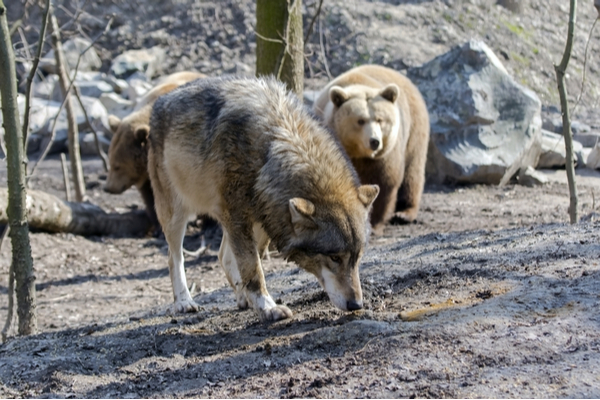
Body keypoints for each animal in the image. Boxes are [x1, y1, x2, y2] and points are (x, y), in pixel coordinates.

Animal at [147, 77, 378, 322]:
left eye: (357, 258)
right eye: (334, 258)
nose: (356, 304)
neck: (276, 141)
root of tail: (161, 99)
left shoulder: (260, 215)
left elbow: (250, 264)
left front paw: (256, 301)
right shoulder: (237, 217)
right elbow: (254, 268)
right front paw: (268, 307)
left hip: (257, 223)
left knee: (223, 256)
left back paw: (242, 298)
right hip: (177, 214)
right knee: (175, 258)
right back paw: (184, 301)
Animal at [314, 65, 432, 234]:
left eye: (380, 119)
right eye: (360, 120)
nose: (374, 141)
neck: (358, 153)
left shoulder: (385, 155)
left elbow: (384, 182)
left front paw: (374, 224)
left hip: (414, 132)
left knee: (413, 173)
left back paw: (403, 213)